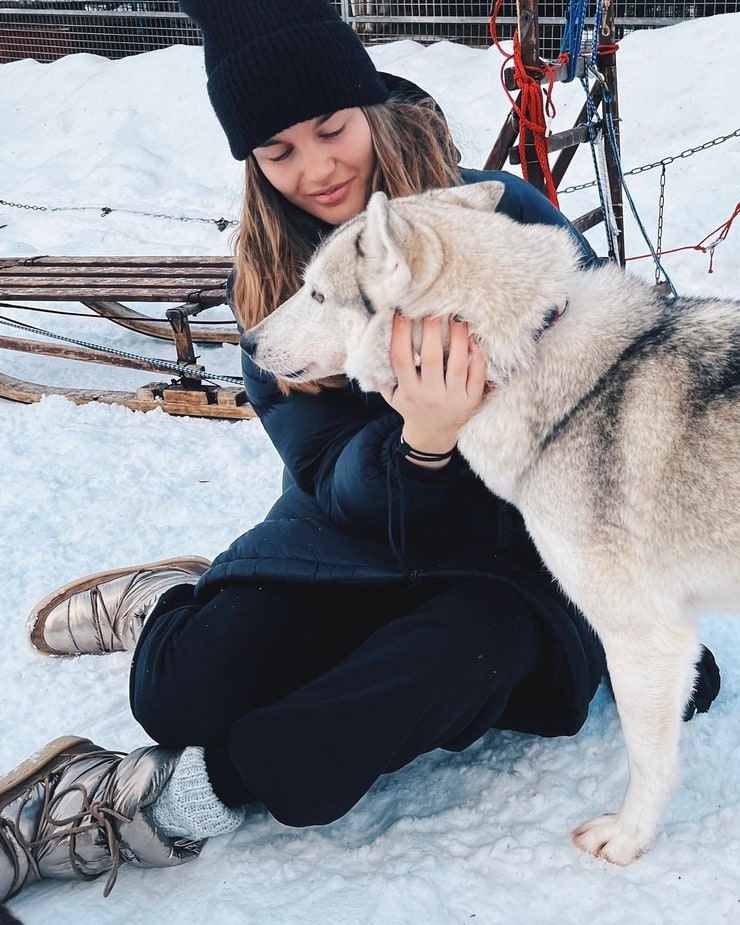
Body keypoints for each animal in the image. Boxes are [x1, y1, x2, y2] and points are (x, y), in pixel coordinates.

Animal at [243, 182, 740, 868]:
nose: (245, 343)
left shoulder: (645, 637)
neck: (533, 349)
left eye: (316, 293)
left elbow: (648, 761)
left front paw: (627, 839)